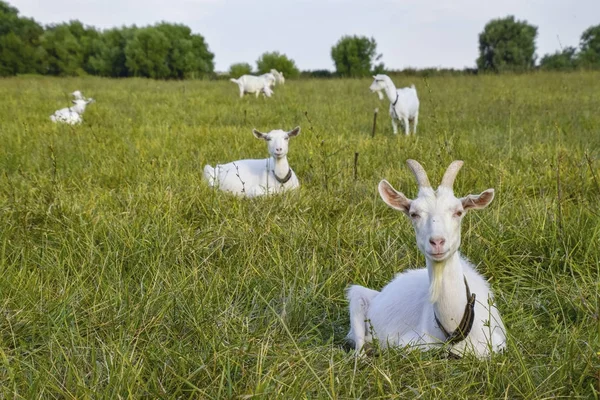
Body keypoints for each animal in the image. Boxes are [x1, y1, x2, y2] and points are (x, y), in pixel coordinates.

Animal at [346, 159, 506, 360]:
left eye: (458, 212)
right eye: (414, 213)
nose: (437, 242)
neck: (453, 327)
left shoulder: (497, 343)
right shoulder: (408, 342)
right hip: (356, 297)